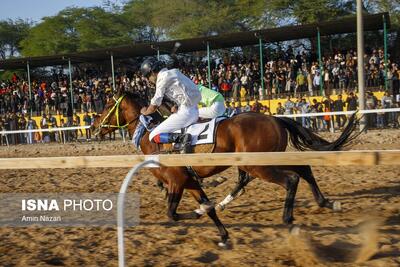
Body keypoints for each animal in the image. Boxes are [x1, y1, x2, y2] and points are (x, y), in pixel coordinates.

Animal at [94, 92, 360, 247]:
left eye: (107, 105)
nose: (95, 128)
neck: (152, 136)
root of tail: (275, 118)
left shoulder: (176, 181)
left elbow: (173, 214)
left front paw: (201, 212)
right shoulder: (189, 181)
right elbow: (207, 208)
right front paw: (222, 234)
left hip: (257, 164)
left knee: (291, 179)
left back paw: (288, 217)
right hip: (269, 158)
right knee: (303, 168)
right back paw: (326, 202)